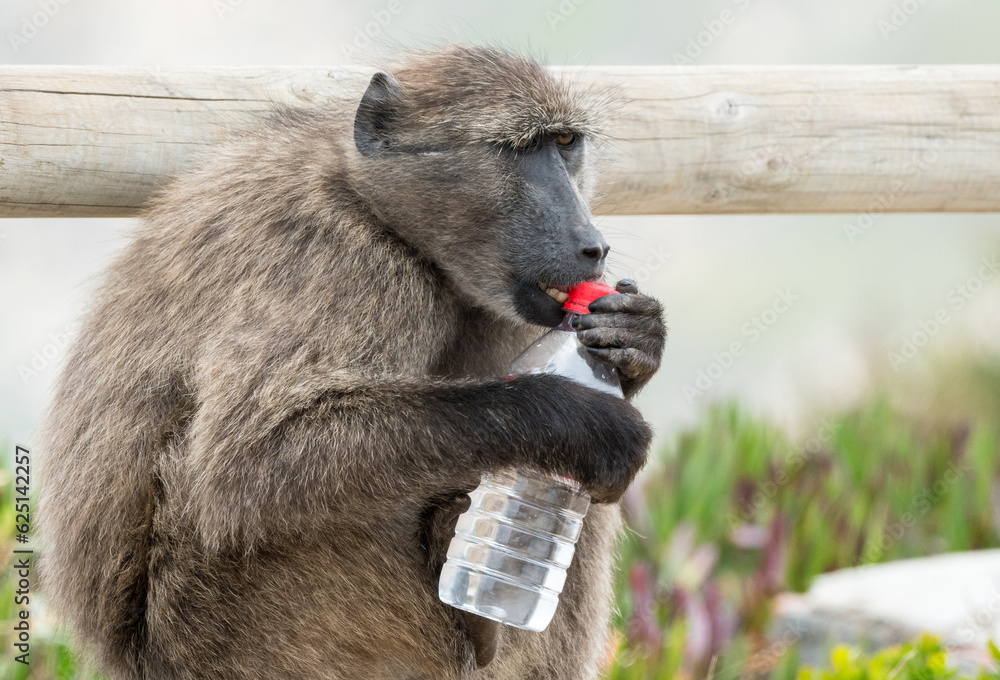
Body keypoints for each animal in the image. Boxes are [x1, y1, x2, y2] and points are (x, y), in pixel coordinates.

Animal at [37, 45, 666, 680]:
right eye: (520, 150)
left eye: (565, 144)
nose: (593, 246)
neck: (371, 203)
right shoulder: (336, 256)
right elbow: (248, 461)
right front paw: (576, 418)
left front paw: (633, 338)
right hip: (251, 617)